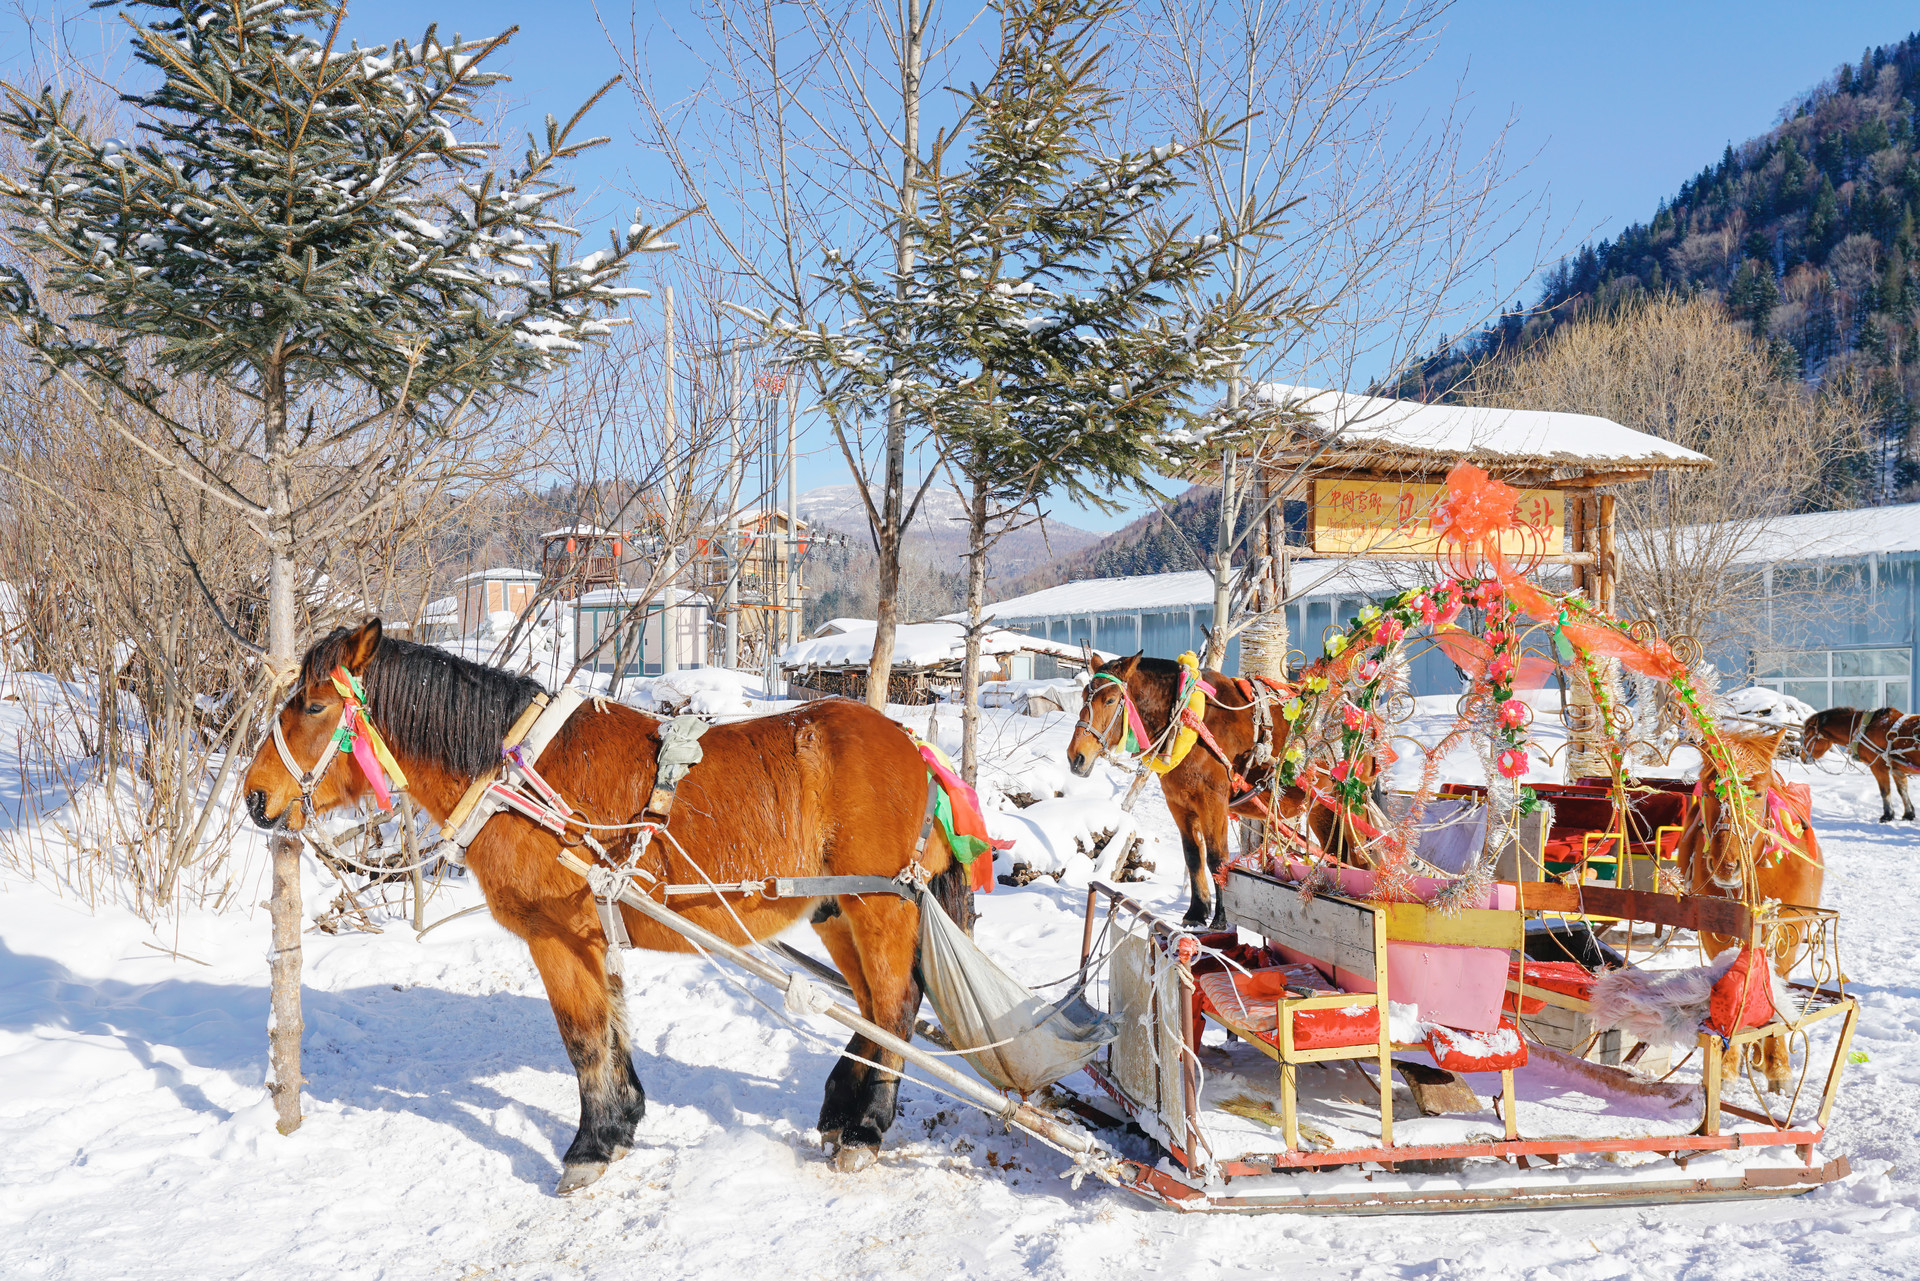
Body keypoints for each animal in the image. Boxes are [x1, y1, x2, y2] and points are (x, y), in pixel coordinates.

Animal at [243, 618, 975, 1190]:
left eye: (313, 706)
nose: (254, 795)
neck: (518, 780)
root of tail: (913, 746)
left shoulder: (556, 935)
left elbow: (584, 1038)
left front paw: (590, 1146)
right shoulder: (595, 935)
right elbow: (612, 1031)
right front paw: (621, 1123)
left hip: (876, 906)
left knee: (895, 1004)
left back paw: (866, 1131)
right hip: (835, 913)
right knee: (873, 1006)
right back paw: (840, 1111)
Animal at [1067, 656, 1305, 925]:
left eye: (1109, 700)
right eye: (1083, 694)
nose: (1075, 757)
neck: (1190, 720)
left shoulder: (1213, 801)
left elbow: (1217, 859)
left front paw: (1220, 918)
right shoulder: (1179, 803)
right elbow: (1192, 856)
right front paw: (1197, 912)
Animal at [1674, 729, 1820, 1090]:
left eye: (1757, 791)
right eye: (1708, 790)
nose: (1727, 865)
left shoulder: (1787, 931)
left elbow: (1774, 985)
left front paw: (1778, 1065)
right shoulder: (1719, 931)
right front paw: (1728, 1066)